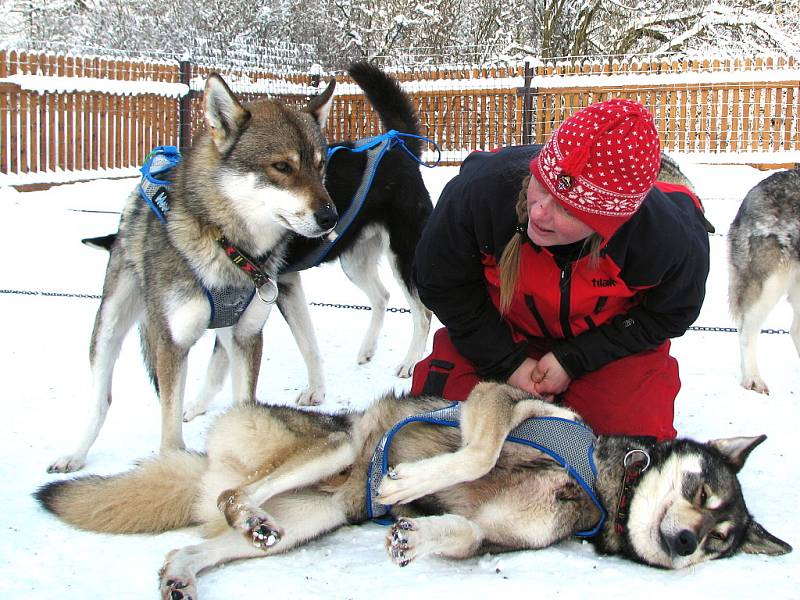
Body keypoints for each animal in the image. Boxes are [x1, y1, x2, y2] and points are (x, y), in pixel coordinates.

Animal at [36, 382, 788, 596]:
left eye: (718, 541)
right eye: (701, 489)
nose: (686, 540)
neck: (604, 486)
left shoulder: (492, 537)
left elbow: (460, 532)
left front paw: (415, 533)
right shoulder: (498, 400)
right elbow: (476, 452)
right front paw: (408, 483)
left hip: (307, 522)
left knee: (195, 545)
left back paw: (186, 571)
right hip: (335, 448)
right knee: (235, 497)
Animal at [46, 72, 338, 474]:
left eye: (321, 166)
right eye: (282, 167)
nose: (330, 217)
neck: (227, 245)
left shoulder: (247, 336)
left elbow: (243, 402)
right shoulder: (172, 342)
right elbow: (168, 428)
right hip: (110, 324)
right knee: (101, 398)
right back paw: (76, 452)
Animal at [183, 62, 432, 418]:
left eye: (319, 166)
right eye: (281, 167)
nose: (330, 216)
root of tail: (397, 149)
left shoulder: (278, 287)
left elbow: (305, 344)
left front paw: (316, 392)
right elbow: (220, 359)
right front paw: (198, 405)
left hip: (404, 255)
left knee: (421, 313)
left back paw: (410, 361)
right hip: (354, 260)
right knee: (382, 296)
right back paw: (367, 349)